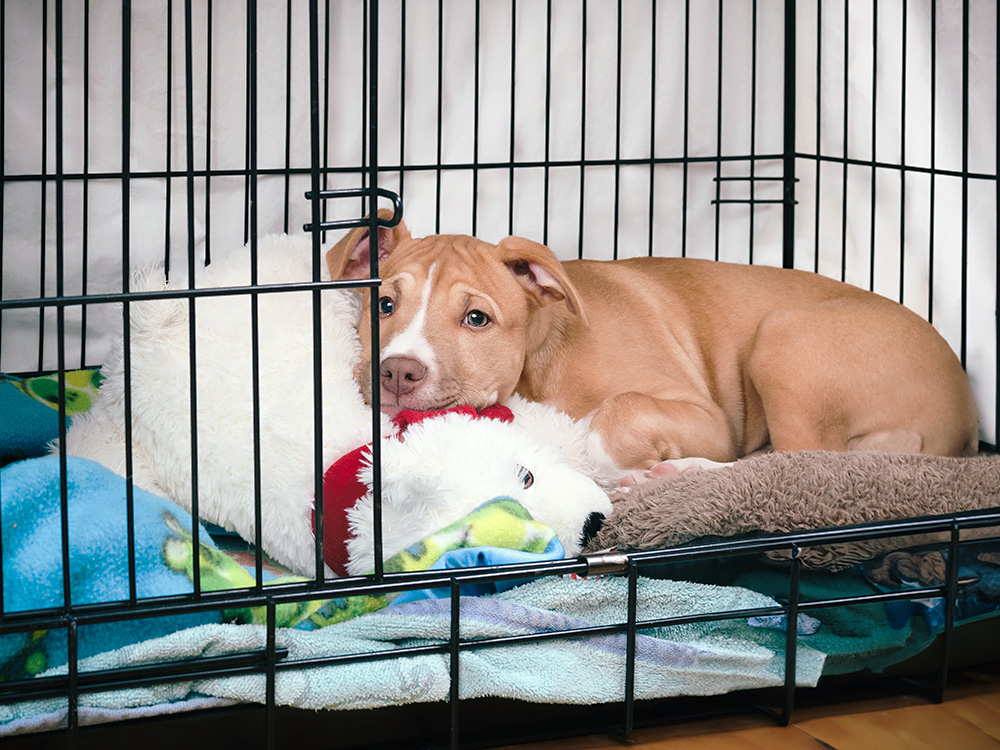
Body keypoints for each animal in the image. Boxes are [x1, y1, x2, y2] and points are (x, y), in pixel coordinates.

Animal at [326, 216, 976, 476]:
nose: (397, 373)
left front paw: (615, 468)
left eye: (477, 318)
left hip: (784, 341)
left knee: (800, 460)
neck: (540, 362)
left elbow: (616, 413)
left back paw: (672, 474)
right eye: (384, 305)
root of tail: (964, 414)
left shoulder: (709, 418)